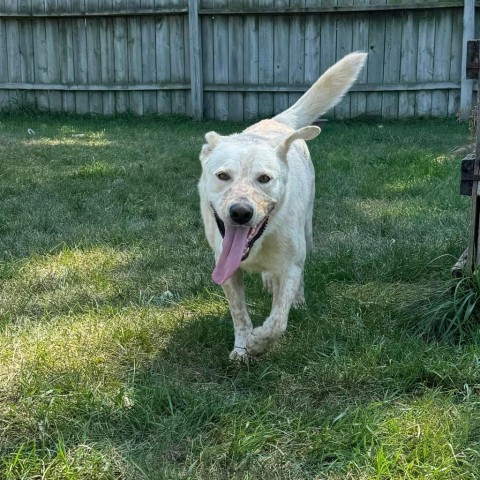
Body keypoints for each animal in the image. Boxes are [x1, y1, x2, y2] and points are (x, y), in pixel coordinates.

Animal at [197, 52, 366, 360]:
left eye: (264, 178)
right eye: (222, 176)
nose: (240, 212)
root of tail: (275, 121)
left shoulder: (290, 266)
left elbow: (278, 320)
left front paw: (258, 342)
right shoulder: (226, 270)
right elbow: (239, 314)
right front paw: (242, 348)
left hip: (307, 232)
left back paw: (295, 299)